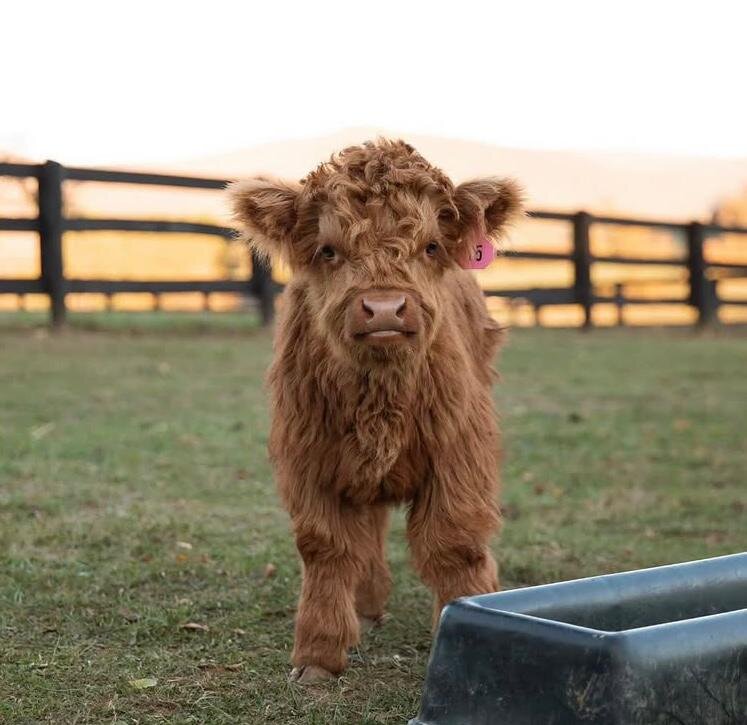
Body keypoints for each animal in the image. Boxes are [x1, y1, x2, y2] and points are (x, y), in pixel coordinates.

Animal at [228, 139, 522, 683]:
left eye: (431, 246)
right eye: (329, 250)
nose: (384, 309)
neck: (380, 402)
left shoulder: (458, 455)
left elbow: (454, 545)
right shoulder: (310, 459)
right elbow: (327, 547)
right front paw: (318, 656)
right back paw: (365, 605)